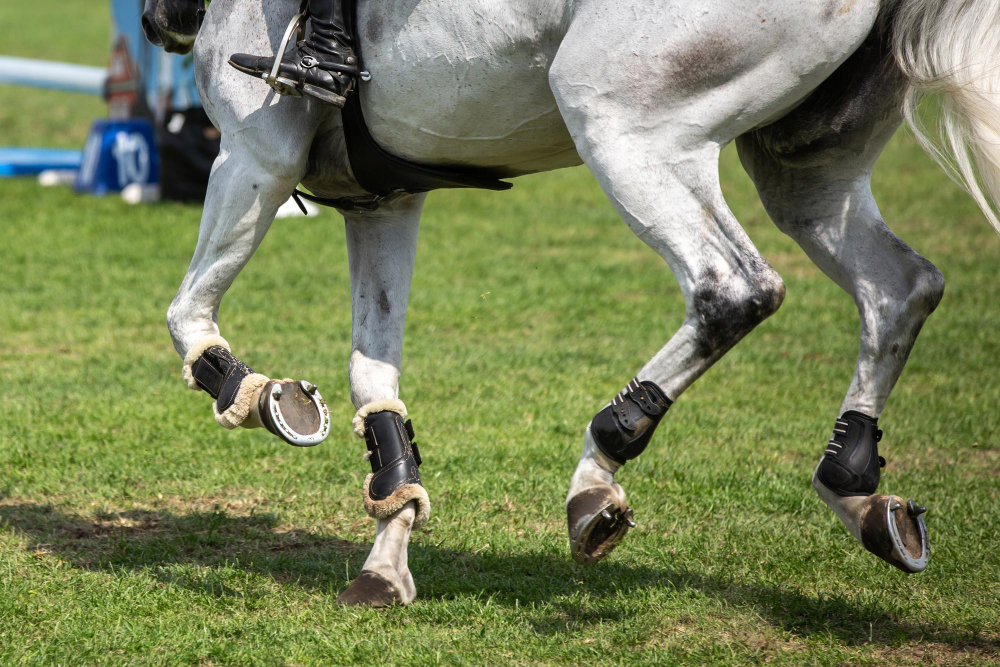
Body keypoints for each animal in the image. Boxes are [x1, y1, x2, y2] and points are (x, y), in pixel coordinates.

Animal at [140, 0, 1000, 606]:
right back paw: (856, 487)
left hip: (621, 121)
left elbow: (186, 314)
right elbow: (372, 378)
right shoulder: (383, 200)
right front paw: (388, 549)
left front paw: (258, 394)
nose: (159, 24)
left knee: (732, 288)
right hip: (805, 169)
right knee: (900, 288)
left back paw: (599, 470)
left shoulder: (256, 154)